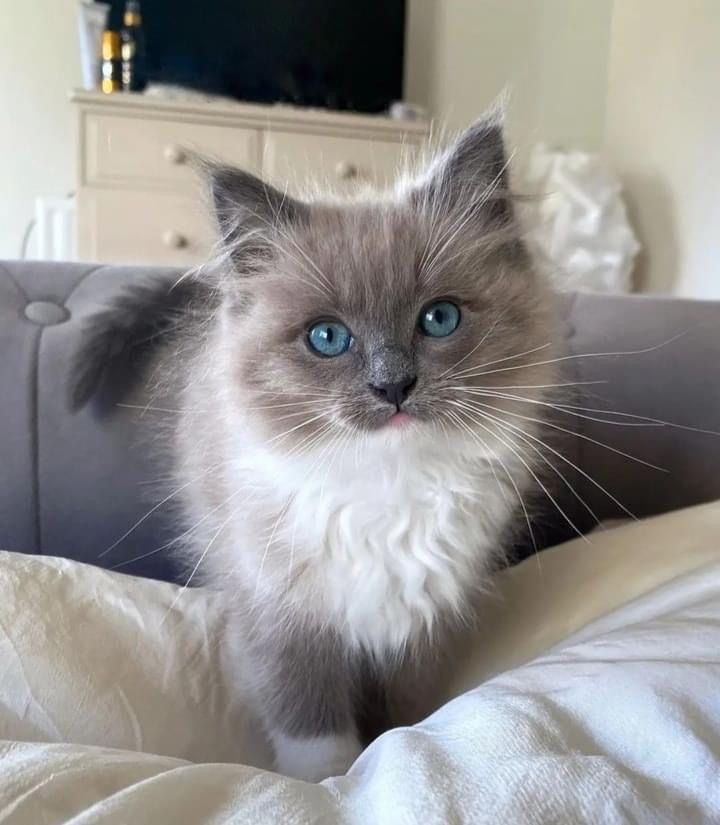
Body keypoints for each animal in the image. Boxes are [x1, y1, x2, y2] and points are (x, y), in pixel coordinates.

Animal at [71, 114, 556, 780]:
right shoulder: (284, 615)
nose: (393, 386)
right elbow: (311, 725)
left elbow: (404, 712)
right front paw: (329, 783)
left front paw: (391, 744)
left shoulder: (425, 617)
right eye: (328, 338)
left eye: (439, 319)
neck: (389, 491)